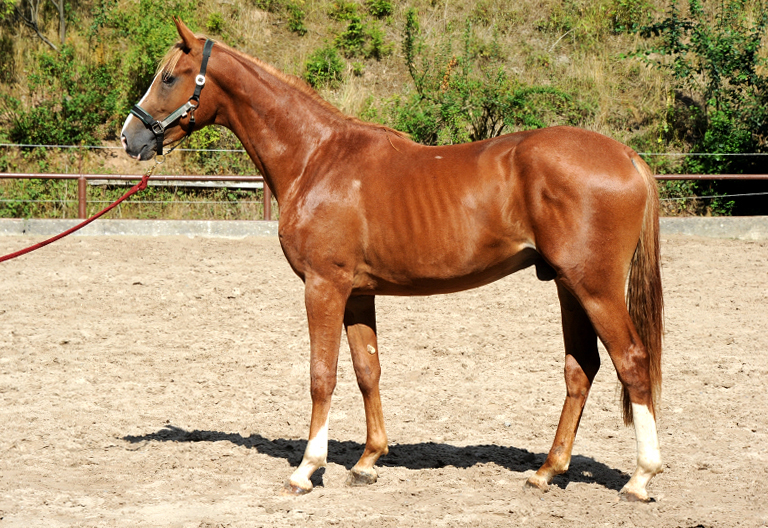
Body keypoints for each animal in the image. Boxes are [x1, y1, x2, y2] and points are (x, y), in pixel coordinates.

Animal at [123, 19, 664, 500]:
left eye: (168, 78)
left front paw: (307, 469)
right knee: (582, 369)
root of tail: (628, 157)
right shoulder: (358, 294)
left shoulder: (323, 286)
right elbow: (368, 370)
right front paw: (367, 461)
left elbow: (322, 376)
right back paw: (546, 471)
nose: (131, 137)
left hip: (595, 287)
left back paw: (640, 478)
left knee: (632, 362)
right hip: (567, 286)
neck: (317, 158)